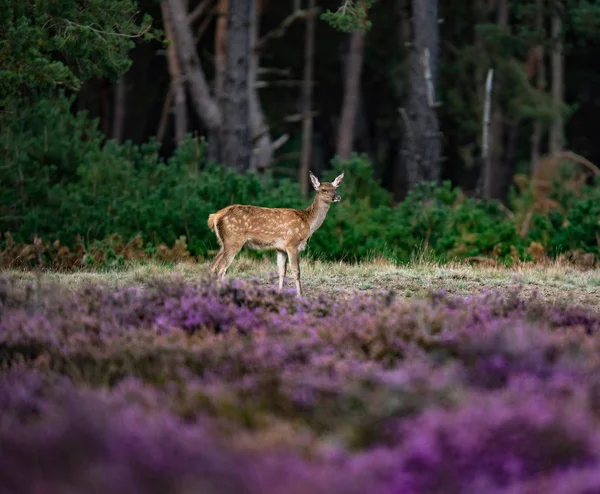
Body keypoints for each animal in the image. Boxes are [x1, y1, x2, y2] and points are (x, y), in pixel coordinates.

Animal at [207, 170, 344, 296]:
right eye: (324, 190)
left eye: (335, 188)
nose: (337, 197)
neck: (308, 222)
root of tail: (215, 216)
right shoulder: (292, 243)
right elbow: (296, 271)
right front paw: (300, 295)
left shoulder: (280, 248)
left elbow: (281, 271)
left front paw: (280, 292)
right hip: (233, 240)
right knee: (221, 268)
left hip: (224, 242)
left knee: (212, 265)